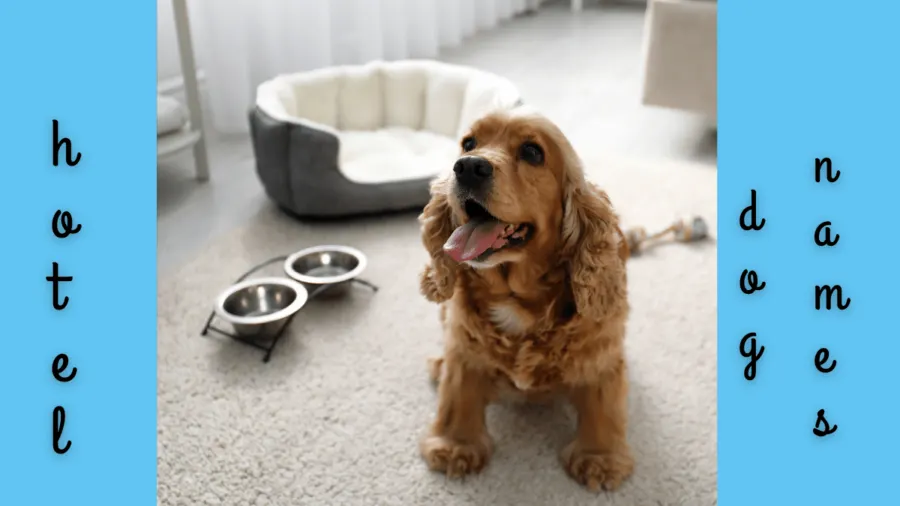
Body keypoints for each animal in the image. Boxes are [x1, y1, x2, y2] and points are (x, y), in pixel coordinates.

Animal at [416, 105, 632, 490]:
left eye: (532, 152)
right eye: (468, 143)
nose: (467, 166)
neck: (516, 297)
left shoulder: (600, 354)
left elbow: (603, 404)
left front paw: (600, 458)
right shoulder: (464, 346)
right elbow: (458, 391)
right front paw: (455, 445)